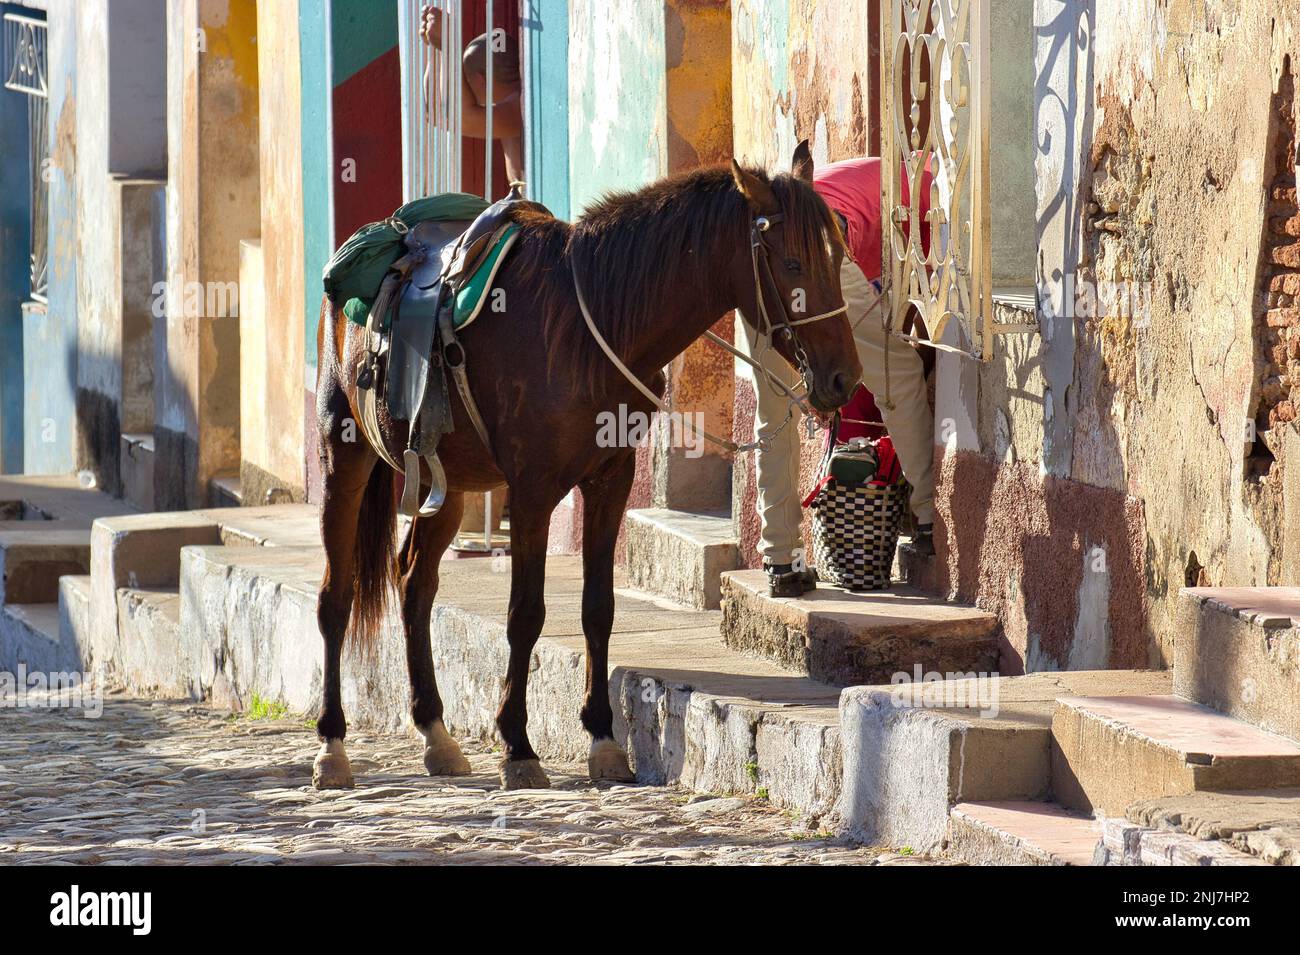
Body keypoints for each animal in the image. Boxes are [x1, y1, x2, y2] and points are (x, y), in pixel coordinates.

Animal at [312, 141, 863, 789]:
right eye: (794, 264)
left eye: (839, 255)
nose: (843, 379)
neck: (586, 323)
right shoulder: (531, 491)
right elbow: (525, 614)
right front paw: (518, 746)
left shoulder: (611, 479)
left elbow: (598, 609)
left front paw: (602, 739)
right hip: (343, 454)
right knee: (336, 596)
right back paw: (332, 745)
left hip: (450, 483)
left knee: (414, 582)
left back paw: (434, 731)